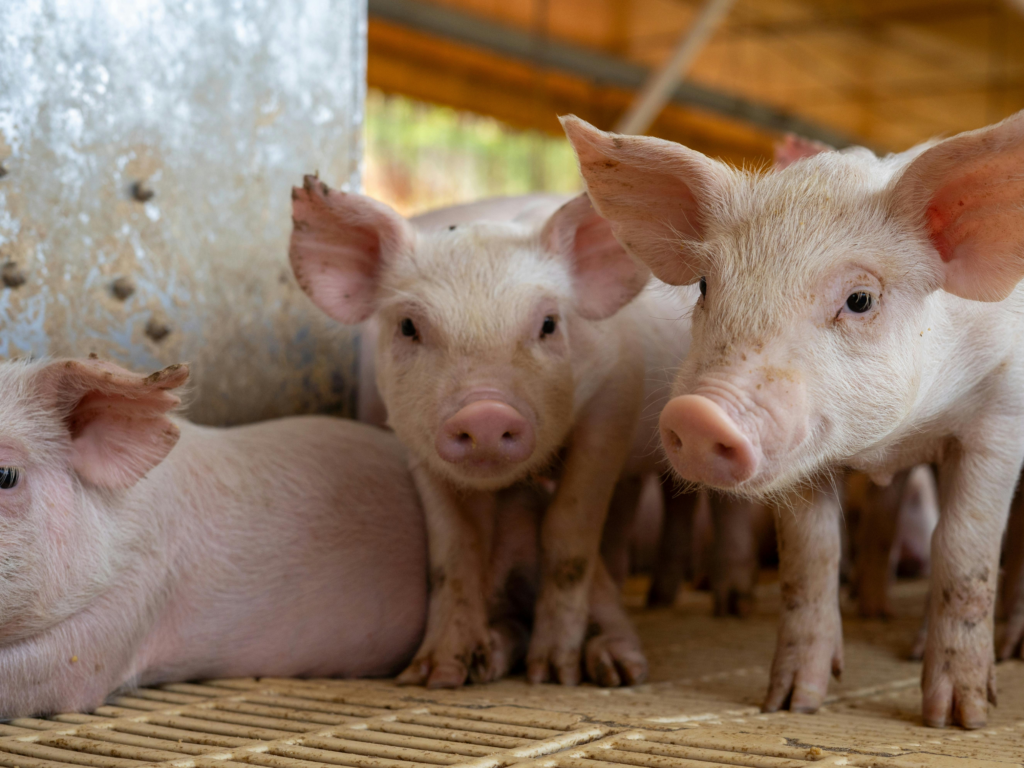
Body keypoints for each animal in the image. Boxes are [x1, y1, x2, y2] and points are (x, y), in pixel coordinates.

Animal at [290, 179, 697, 688]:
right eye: (408, 326)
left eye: (549, 324)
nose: (484, 412)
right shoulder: (414, 442)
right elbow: (453, 548)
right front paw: (434, 674)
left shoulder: (613, 401)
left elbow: (569, 530)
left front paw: (553, 673)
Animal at [564, 111, 1024, 728]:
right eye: (706, 285)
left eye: (860, 299)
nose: (699, 414)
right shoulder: (803, 460)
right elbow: (810, 556)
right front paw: (791, 704)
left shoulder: (1000, 415)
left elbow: (963, 548)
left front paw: (957, 720)